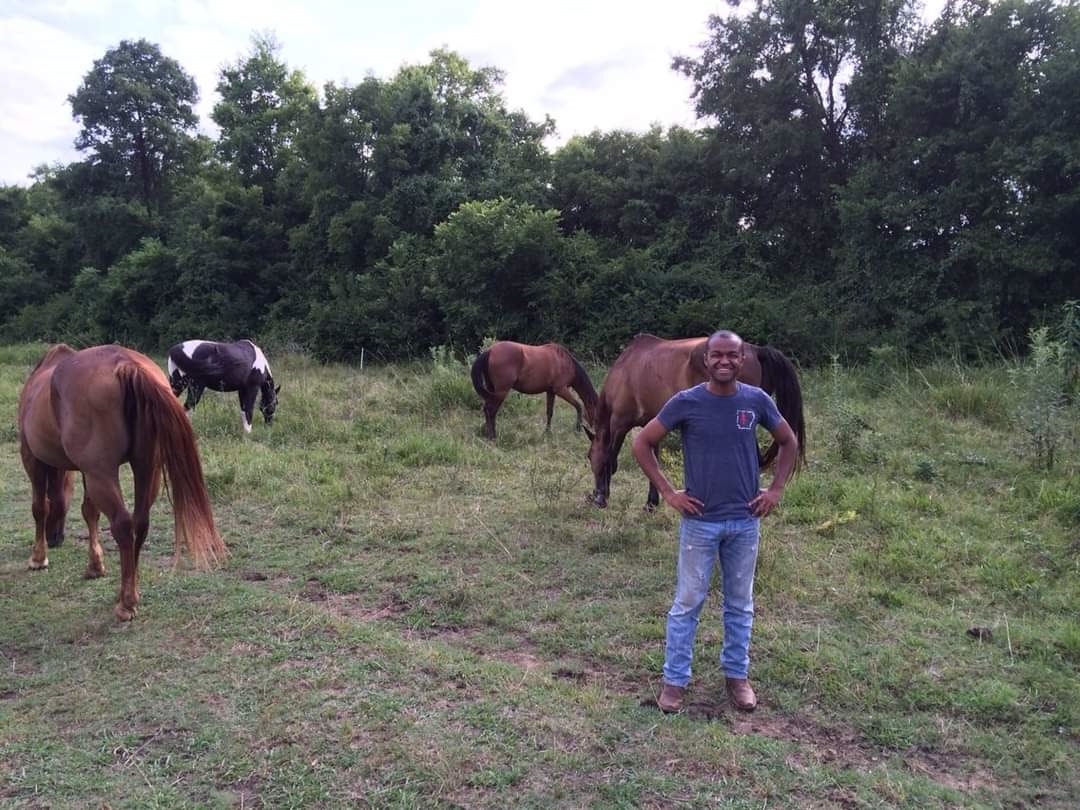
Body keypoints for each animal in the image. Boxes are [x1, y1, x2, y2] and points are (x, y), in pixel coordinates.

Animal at [19, 343, 227, 622]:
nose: (55, 539)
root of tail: (127, 365)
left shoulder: (32, 457)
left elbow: (40, 508)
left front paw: (38, 558)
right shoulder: (86, 471)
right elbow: (89, 512)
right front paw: (95, 566)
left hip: (103, 473)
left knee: (123, 525)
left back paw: (126, 604)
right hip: (144, 468)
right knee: (139, 523)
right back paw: (131, 593)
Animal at [468, 343, 600, 444]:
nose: (596, 431)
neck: (565, 363)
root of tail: (490, 351)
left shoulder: (550, 391)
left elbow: (549, 412)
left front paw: (547, 432)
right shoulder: (561, 390)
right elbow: (578, 406)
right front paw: (577, 429)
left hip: (493, 390)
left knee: (488, 410)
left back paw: (488, 434)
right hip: (501, 392)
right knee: (491, 411)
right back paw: (492, 437)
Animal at [587, 332, 807, 509]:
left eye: (589, 457)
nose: (593, 495)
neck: (624, 369)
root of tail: (755, 349)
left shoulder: (619, 423)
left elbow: (610, 457)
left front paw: (603, 497)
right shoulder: (653, 423)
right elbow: (653, 461)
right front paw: (651, 503)